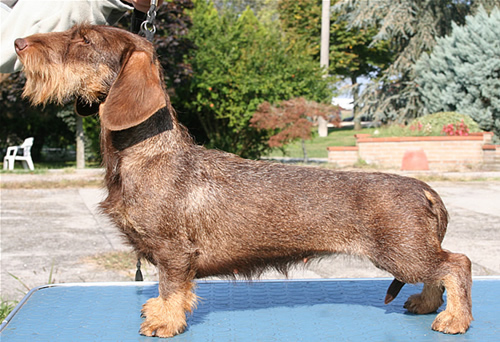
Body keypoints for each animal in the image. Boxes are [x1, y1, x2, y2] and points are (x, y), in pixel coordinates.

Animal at [13, 23, 470, 336]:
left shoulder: (173, 252)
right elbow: (168, 291)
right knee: (441, 270)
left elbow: (171, 288)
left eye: (84, 40)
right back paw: (427, 304)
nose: (18, 44)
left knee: (456, 264)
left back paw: (454, 318)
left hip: (400, 253)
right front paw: (159, 312)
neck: (148, 153)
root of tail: (425, 189)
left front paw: (164, 321)